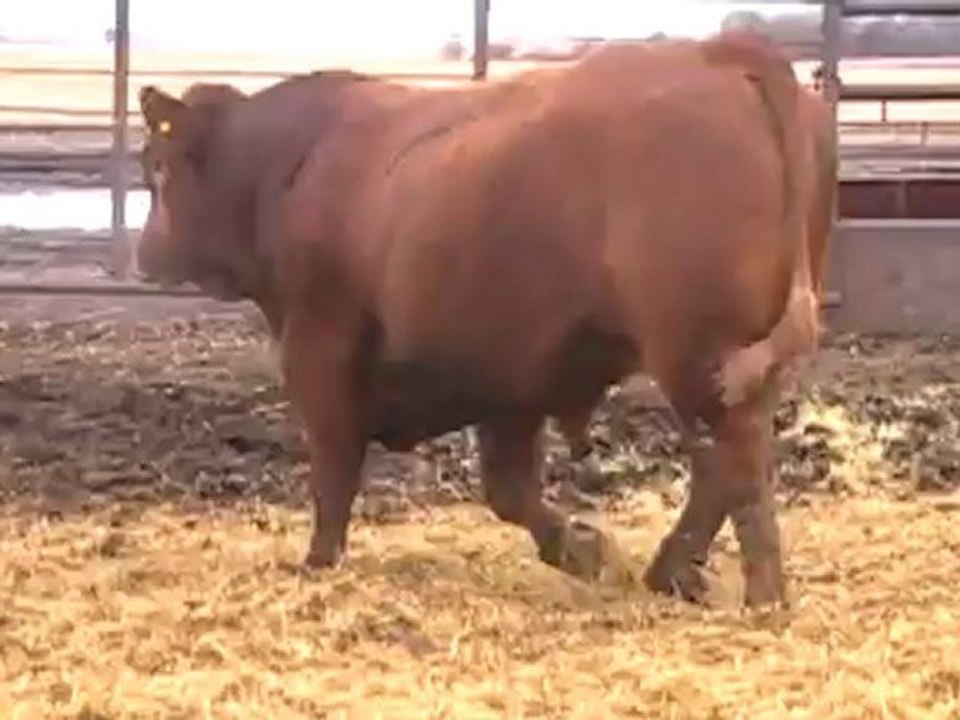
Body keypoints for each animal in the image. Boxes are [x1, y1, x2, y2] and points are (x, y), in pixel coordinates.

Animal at [135, 29, 824, 607]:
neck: (292, 163)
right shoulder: (513, 376)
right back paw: (676, 573)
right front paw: (587, 551)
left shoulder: (319, 345)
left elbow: (334, 466)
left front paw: (317, 564)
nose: (145, 254)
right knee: (727, 466)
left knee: (734, 460)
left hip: (696, 354)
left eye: (158, 166)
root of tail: (719, 52)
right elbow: (510, 490)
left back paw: (759, 595)